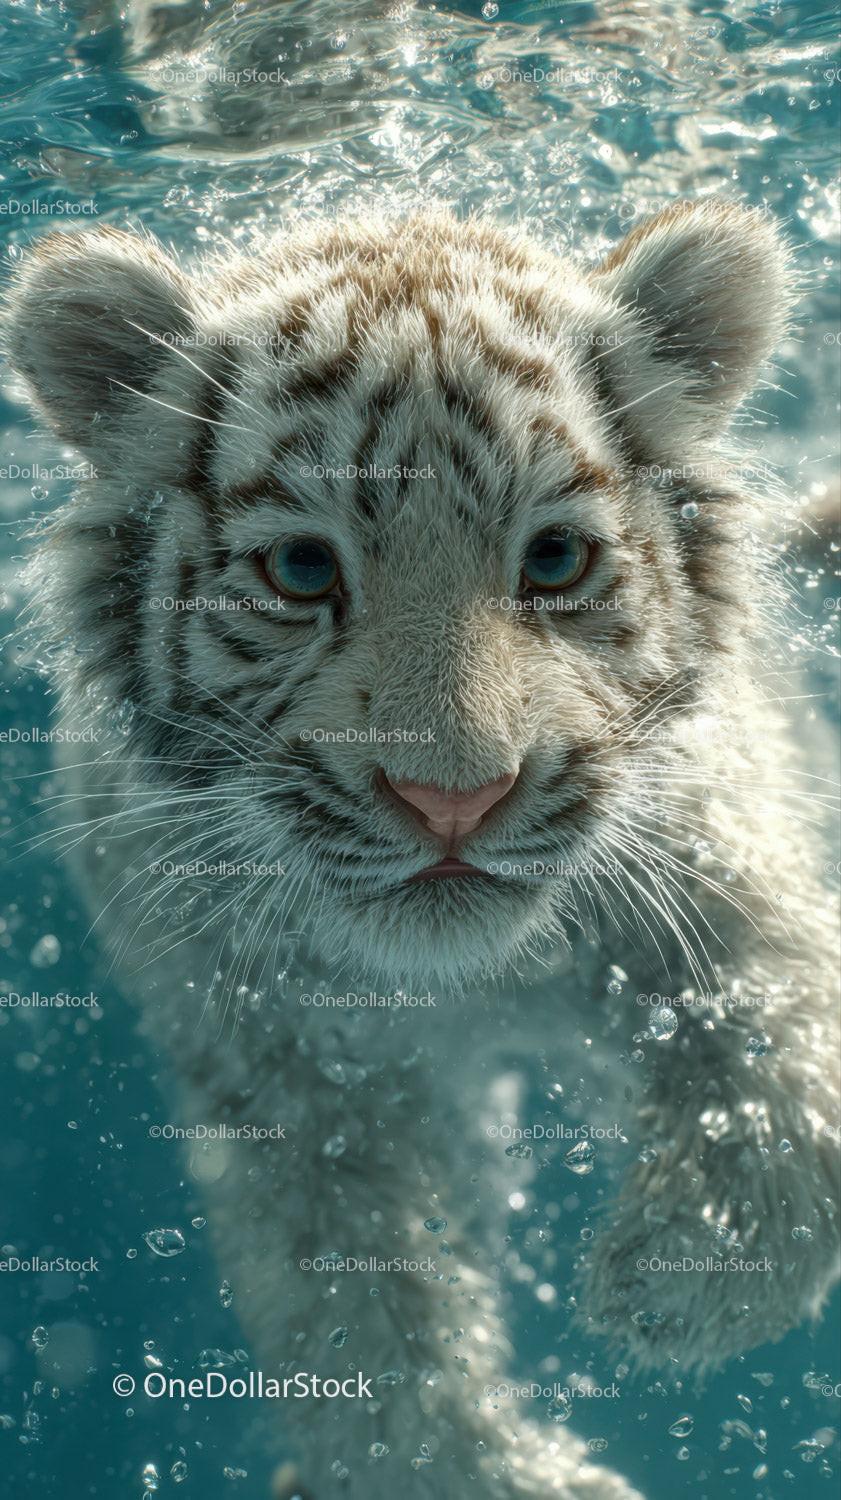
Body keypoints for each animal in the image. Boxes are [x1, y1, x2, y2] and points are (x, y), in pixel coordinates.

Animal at [4, 201, 839, 1500]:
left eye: (554, 562)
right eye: (302, 570)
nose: (455, 800)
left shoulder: (720, 877)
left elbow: (785, 1065)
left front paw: (668, 1278)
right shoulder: (274, 1072)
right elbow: (358, 1315)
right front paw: (498, 1473)